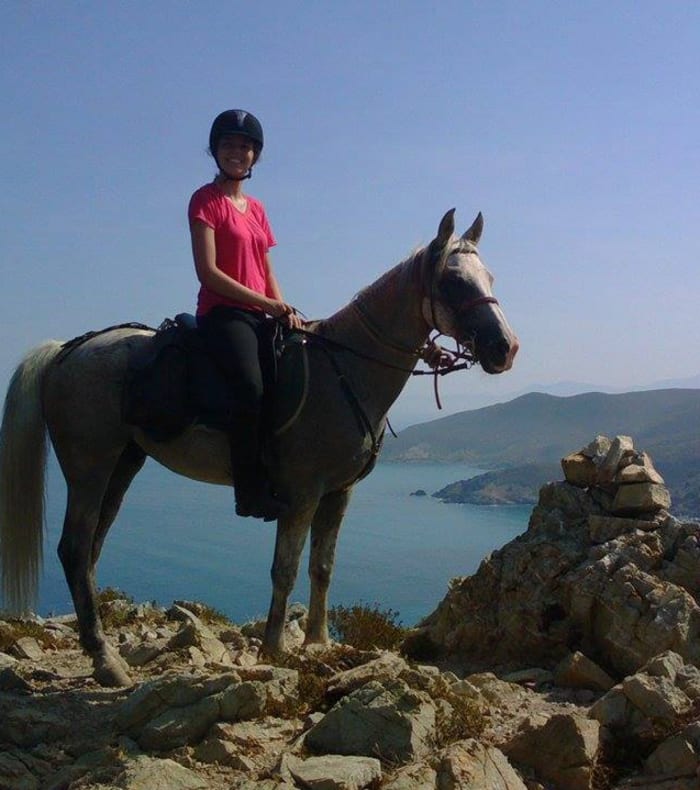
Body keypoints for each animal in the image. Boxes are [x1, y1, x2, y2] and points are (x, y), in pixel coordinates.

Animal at [0, 209, 518, 686]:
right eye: (453, 281)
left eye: (489, 277)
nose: (505, 347)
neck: (344, 369)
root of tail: (66, 350)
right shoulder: (302, 494)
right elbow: (284, 569)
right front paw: (274, 649)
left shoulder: (338, 493)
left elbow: (322, 567)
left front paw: (317, 642)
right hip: (89, 466)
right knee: (73, 548)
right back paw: (107, 662)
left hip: (122, 465)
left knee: (90, 550)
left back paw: (99, 651)